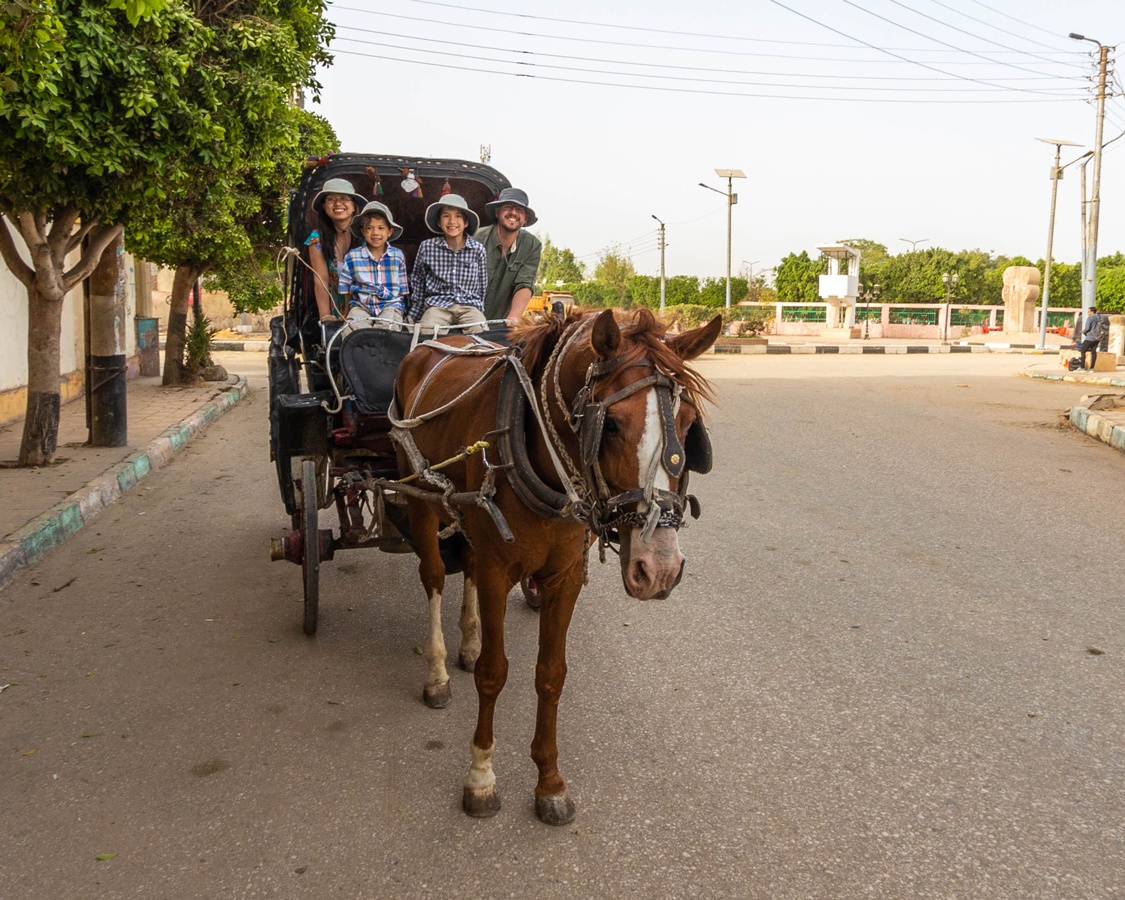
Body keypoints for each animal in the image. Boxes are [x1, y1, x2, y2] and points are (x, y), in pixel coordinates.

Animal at [391, 308, 715, 823]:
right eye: (612, 425)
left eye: (687, 425)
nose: (658, 568)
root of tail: (433, 343)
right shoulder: (499, 571)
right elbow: (494, 673)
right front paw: (480, 777)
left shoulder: (564, 578)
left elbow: (551, 674)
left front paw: (550, 782)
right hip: (419, 497)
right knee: (436, 576)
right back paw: (438, 672)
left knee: (467, 564)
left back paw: (468, 641)